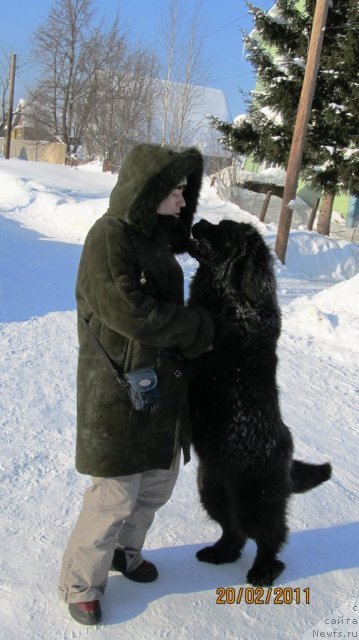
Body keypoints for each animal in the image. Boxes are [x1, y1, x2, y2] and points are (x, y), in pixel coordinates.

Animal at [187, 219, 334, 584]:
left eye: (223, 231)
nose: (198, 221)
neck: (234, 300)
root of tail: (288, 462)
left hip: (255, 501)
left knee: (271, 537)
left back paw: (264, 571)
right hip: (212, 490)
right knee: (234, 532)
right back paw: (219, 553)